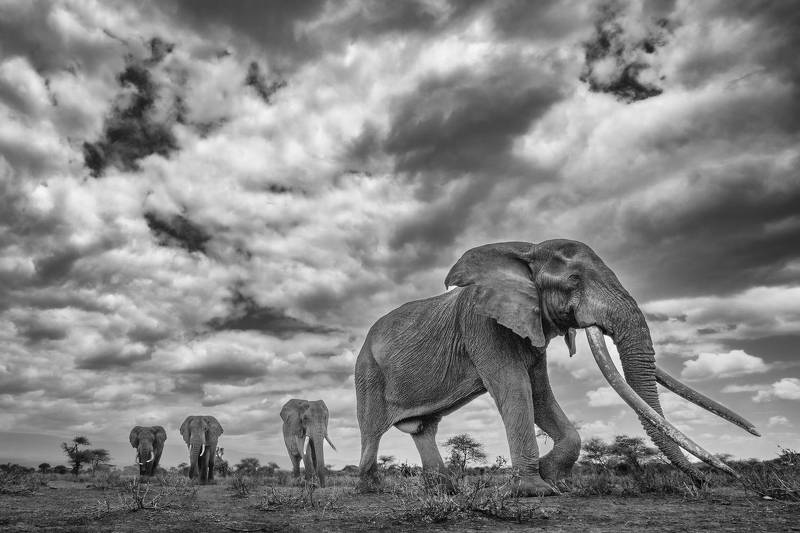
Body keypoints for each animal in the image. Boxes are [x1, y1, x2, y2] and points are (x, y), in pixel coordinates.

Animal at [355, 240, 759, 495]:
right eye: (574, 280)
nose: (707, 482)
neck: (524, 251)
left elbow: (540, 394)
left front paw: (555, 481)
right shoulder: (481, 324)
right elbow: (515, 388)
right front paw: (536, 492)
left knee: (424, 428)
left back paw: (446, 489)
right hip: (367, 371)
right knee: (372, 430)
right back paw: (371, 489)